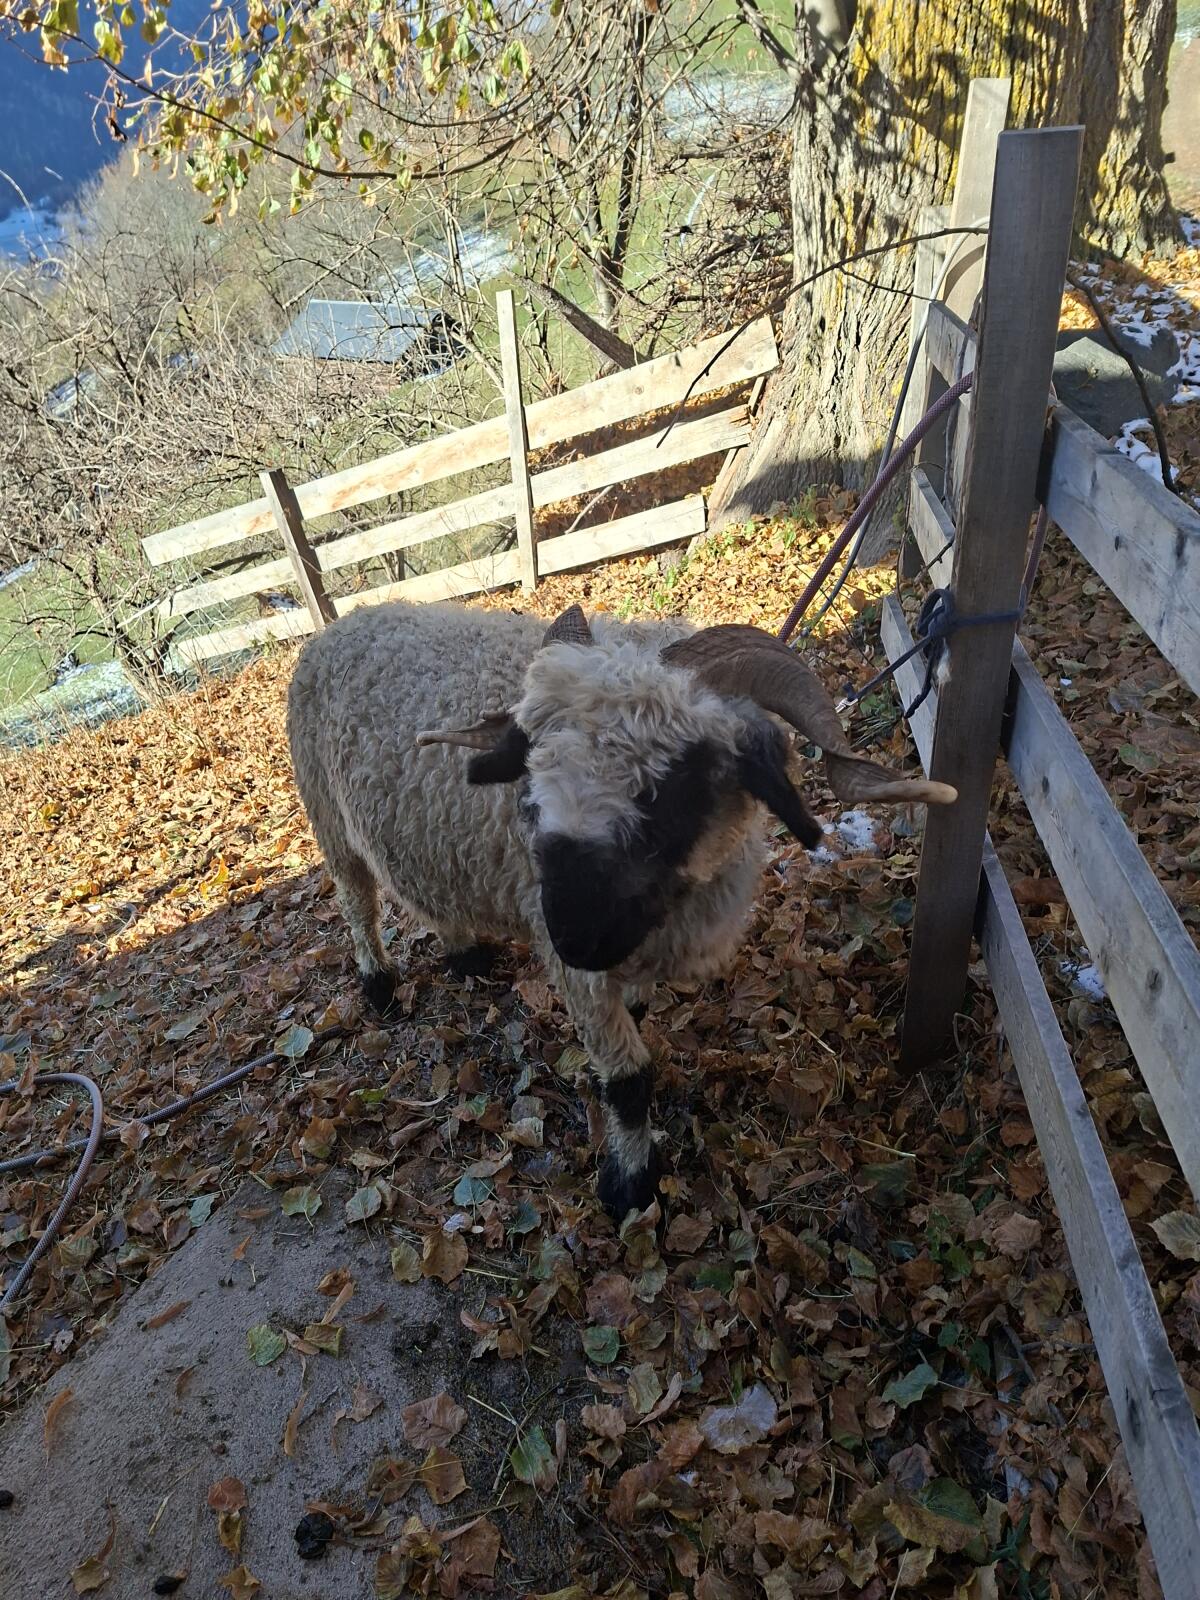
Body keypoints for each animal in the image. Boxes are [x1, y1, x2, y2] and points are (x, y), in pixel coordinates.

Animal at [286, 598, 956, 1220]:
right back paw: (378, 983)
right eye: (532, 770)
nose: (573, 936)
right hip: (328, 816)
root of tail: (342, 625)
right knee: (357, 901)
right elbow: (629, 1079)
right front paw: (631, 1183)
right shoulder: (576, 970)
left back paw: (465, 952)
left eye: (680, 780)